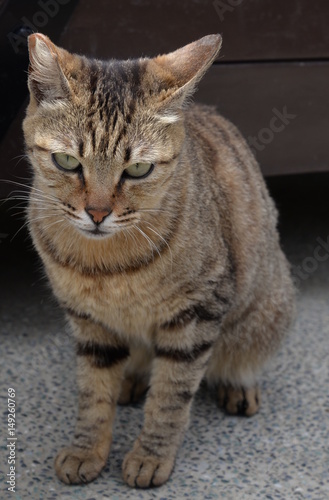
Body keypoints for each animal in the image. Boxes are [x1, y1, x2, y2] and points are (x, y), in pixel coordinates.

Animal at [23, 32, 294, 488]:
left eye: (138, 170)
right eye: (67, 161)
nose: (97, 213)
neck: (107, 267)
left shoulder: (197, 313)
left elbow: (170, 397)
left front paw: (151, 456)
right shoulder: (88, 321)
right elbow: (93, 394)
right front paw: (86, 449)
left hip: (266, 312)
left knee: (237, 360)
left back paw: (239, 386)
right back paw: (130, 381)